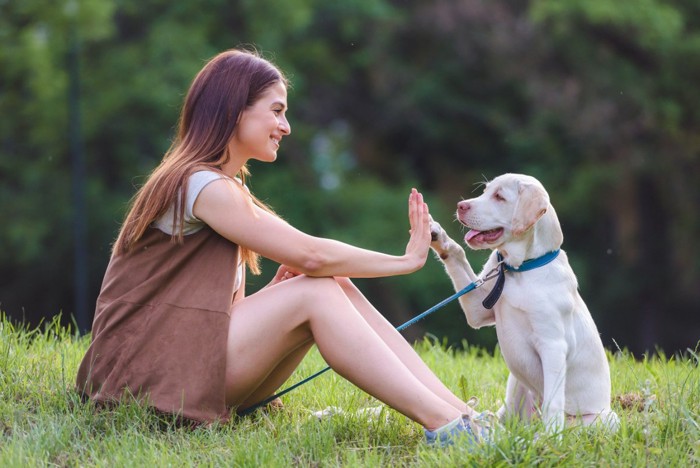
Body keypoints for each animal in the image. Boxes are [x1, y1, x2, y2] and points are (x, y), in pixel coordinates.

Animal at [432, 174, 616, 434]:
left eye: (500, 197)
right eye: (485, 191)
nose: (461, 206)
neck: (518, 270)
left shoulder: (553, 345)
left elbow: (553, 402)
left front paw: (551, 439)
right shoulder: (477, 309)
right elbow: (459, 255)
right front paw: (440, 238)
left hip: (604, 419)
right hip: (516, 389)